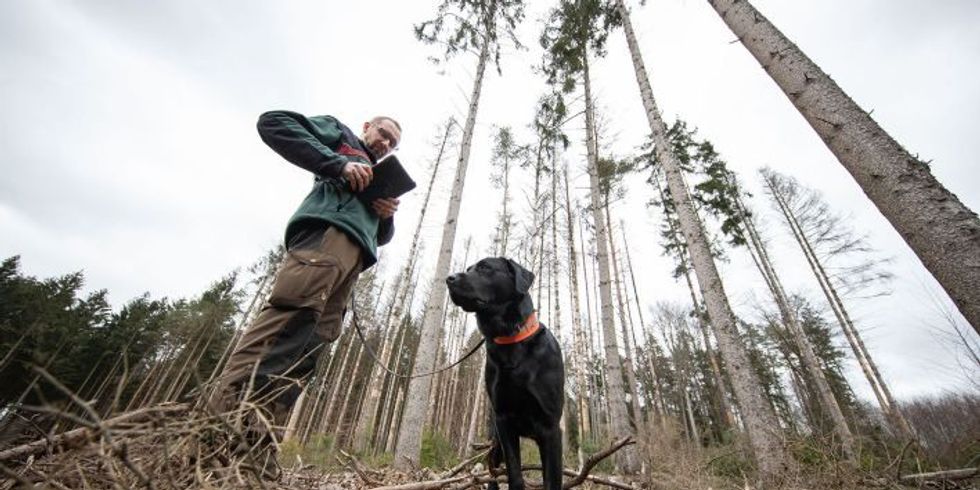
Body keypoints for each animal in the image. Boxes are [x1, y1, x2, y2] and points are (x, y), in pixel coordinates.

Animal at [446, 256, 564, 490]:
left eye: (484, 267)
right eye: (468, 269)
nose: (449, 278)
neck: (511, 341)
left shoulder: (550, 427)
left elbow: (552, 480)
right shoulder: (504, 420)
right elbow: (515, 475)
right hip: (495, 439)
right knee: (493, 470)